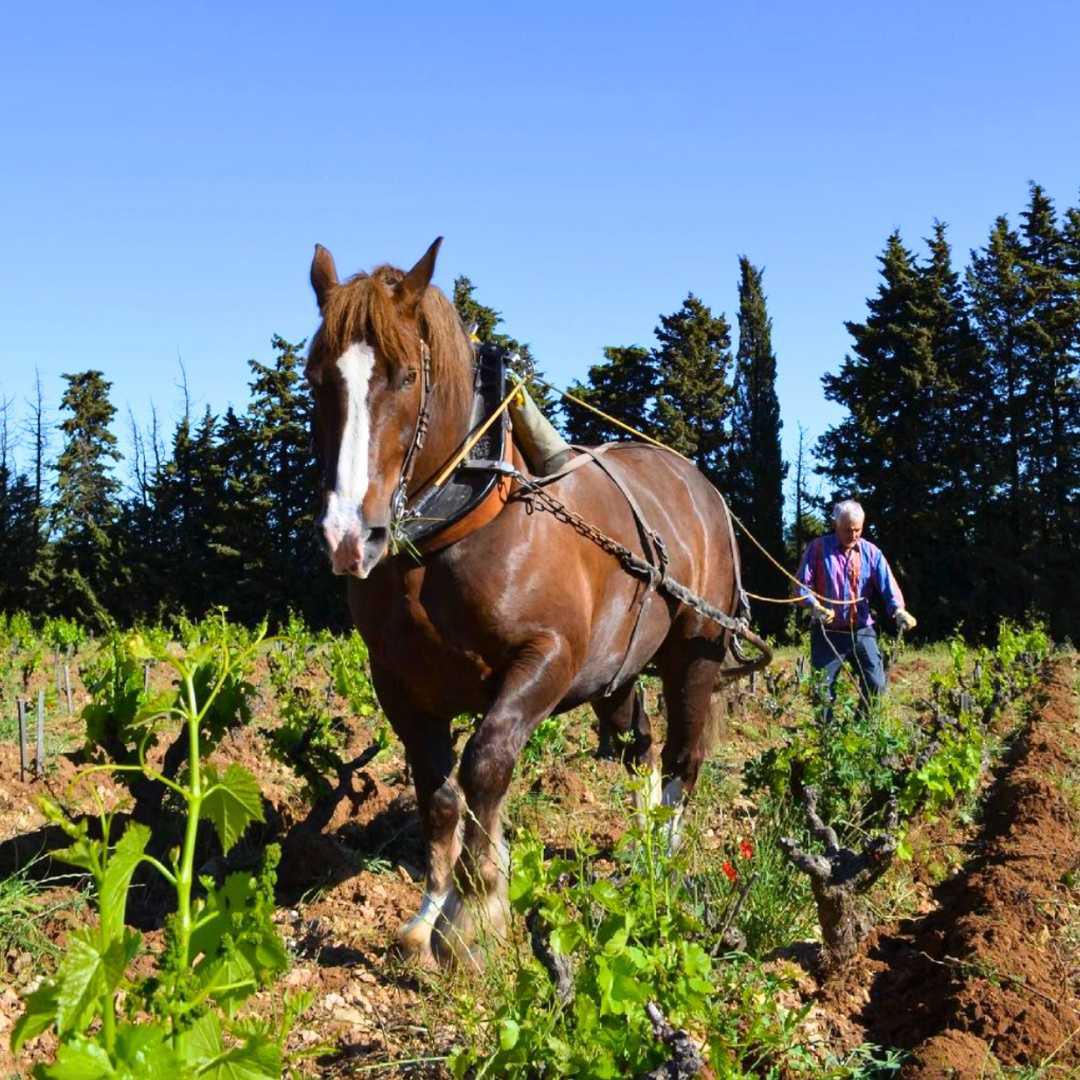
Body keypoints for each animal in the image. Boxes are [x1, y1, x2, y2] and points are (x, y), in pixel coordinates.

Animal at [304, 240, 773, 967]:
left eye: (406, 377)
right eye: (315, 380)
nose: (349, 537)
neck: (451, 535)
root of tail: (701, 486)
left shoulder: (545, 661)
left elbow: (486, 764)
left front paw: (475, 911)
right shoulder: (398, 684)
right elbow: (438, 791)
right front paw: (429, 913)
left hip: (691, 652)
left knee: (682, 757)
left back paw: (660, 867)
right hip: (620, 669)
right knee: (637, 746)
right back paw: (639, 845)